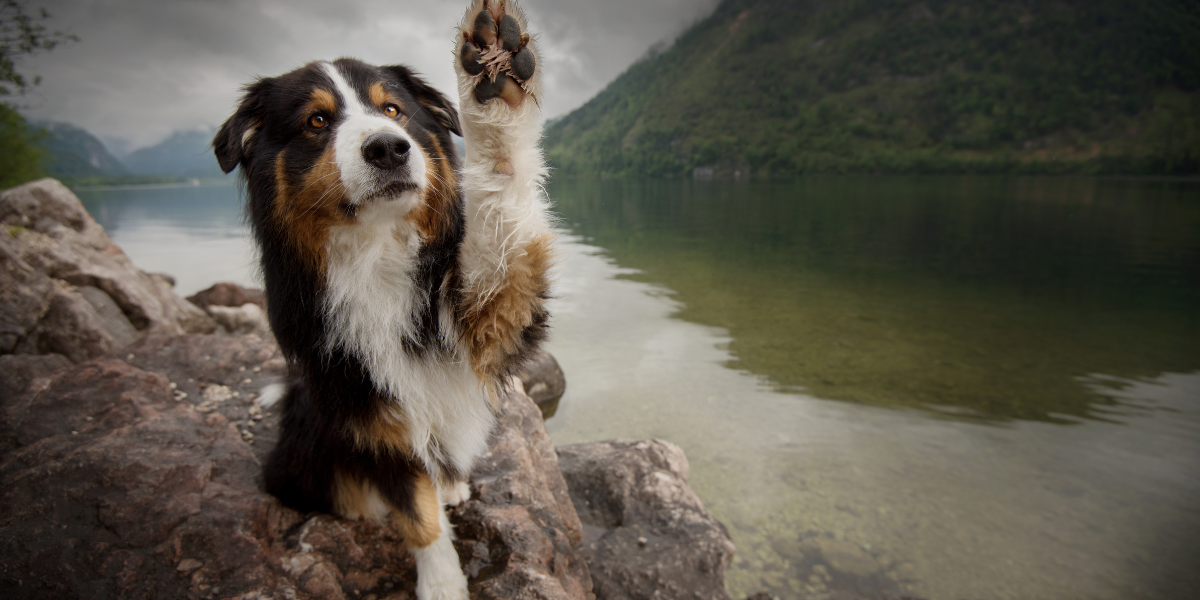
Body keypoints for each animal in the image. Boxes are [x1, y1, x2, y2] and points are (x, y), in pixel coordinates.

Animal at [211, 2, 552, 597]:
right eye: (316, 121)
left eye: (392, 109)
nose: (390, 147)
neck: (377, 248)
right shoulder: (369, 412)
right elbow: (415, 513)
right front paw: (443, 583)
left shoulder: (487, 309)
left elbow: (502, 206)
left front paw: (495, 80)